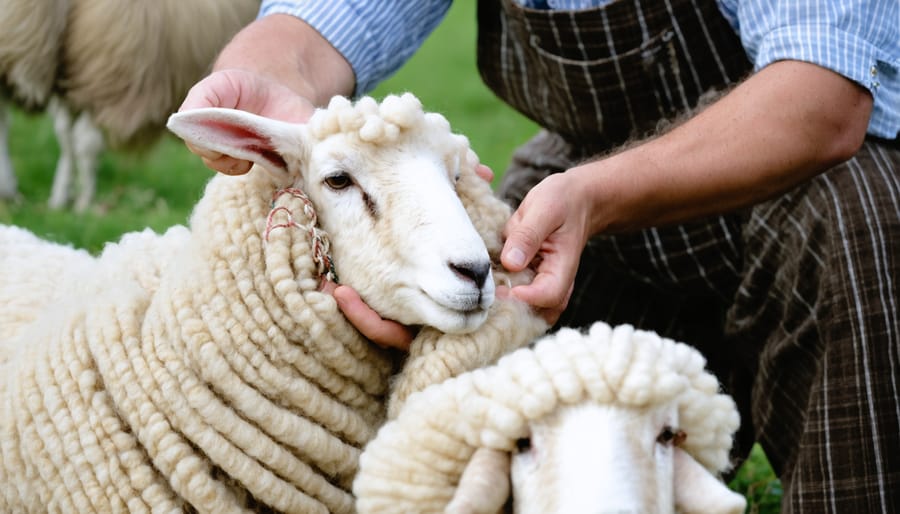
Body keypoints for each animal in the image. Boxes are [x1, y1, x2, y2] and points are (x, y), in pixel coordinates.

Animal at [0, 0, 260, 210]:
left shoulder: (108, 78)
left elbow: (83, 143)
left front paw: (83, 202)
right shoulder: (73, 74)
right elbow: (67, 139)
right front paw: (61, 198)